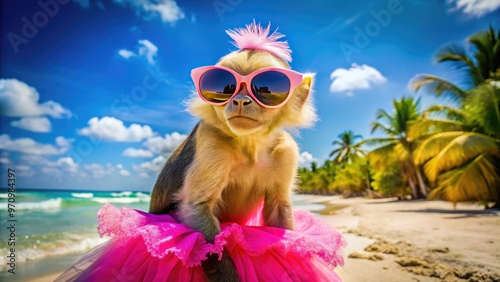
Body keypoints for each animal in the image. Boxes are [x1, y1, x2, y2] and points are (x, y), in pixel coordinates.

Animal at [148, 23, 318, 280]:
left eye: (264, 89)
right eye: (227, 87)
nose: (240, 100)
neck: (250, 145)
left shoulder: (286, 151)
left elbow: (280, 211)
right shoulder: (211, 140)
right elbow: (197, 211)